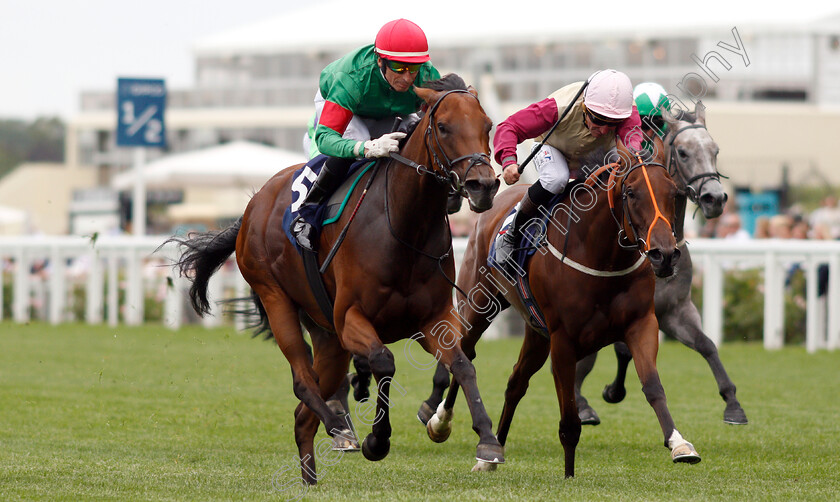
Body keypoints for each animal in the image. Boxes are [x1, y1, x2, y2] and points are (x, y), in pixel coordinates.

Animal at [167, 75, 502, 486]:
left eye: (488, 125)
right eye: (443, 127)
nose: (483, 185)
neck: (405, 225)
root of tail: (250, 206)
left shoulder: (434, 319)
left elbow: (464, 365)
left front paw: (484, 440)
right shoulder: (351, 318)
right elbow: (384, 361)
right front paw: (377, 439)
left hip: (328, 337)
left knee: (302, 415)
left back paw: (312, 475)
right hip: (277, 299)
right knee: (301, 380)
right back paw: (338, 427)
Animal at [424, 147, 700, 476]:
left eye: (672, 192)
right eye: (632, 193)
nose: (665, 255)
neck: (603, 257)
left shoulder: (641, 324)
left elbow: (653, 386)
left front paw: (680, 444)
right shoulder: (563, 340)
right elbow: (569, 419)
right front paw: (569, 475)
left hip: (536, 331)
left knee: (516, 383)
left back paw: (491, 453)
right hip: (478, 306)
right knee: (463, 354)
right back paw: (440, 422)